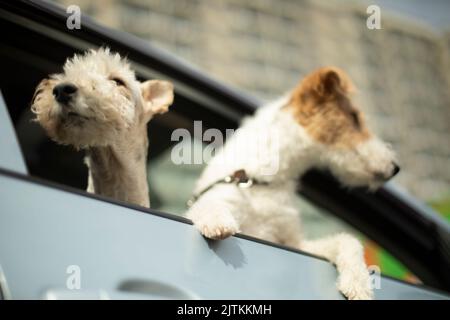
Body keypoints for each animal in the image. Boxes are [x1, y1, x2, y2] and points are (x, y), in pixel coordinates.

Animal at [185, 67, 400, 300]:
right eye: (354, 118)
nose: (395, 168)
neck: (263, 179)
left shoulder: (293, 243)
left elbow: (347, 240)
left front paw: (358, 283)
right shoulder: (216, 200)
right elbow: (207, 206)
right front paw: (216, 221)